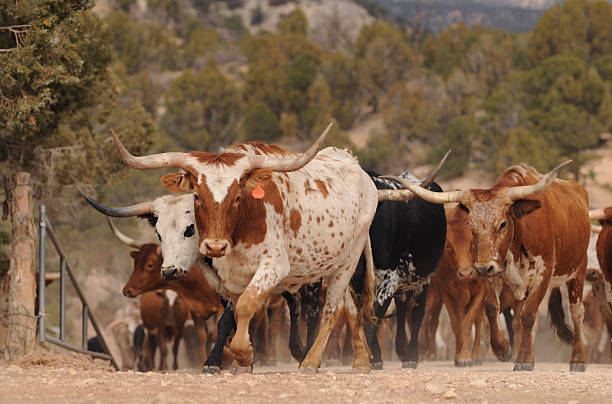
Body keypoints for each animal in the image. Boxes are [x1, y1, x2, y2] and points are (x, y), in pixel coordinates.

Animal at [354, 170, 444, 370]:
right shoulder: (354, 283)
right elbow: (365, 315)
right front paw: (374, 357)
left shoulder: (390, 278)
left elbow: (374, 315)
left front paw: (368, 358)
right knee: (402, 309)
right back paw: (401, 349)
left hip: (423, 279)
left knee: (418, 312)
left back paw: (411, 356)